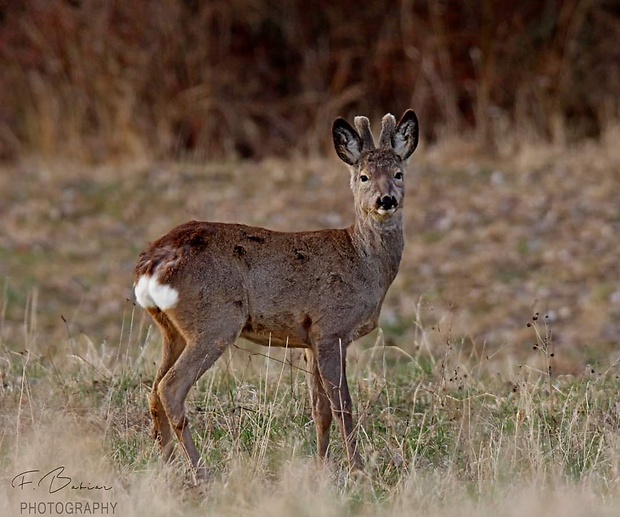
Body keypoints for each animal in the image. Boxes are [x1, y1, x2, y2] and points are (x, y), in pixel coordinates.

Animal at [133, 110, 418, 480]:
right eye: (364, 176)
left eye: (398, 173)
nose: (386, 200)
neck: (364, 261)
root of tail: (151, 261)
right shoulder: (332, 328)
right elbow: (343, 405)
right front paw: (357, 469)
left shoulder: (311, 339)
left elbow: (320, 408)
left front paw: (322, 465)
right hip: (214, 321)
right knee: (170, 388)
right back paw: (200, 472)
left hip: (172, 330)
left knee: (154, 392)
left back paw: (169, 469)